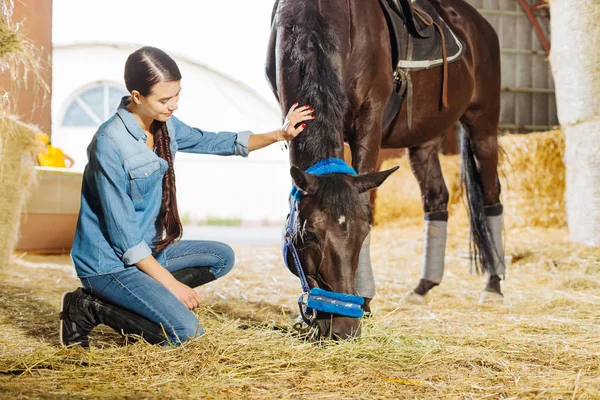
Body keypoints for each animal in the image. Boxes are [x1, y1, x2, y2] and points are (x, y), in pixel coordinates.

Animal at [264, 0, 504, 340]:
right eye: (308, 235)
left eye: (365, 232)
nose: (344, 327)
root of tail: (481, 24)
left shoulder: (369, 120)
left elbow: (366, 200)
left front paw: (365, 302)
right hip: (423, 137)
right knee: (435, 198)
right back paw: (423, 287)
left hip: (483, 125)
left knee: (490, 195)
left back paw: (494, 285)